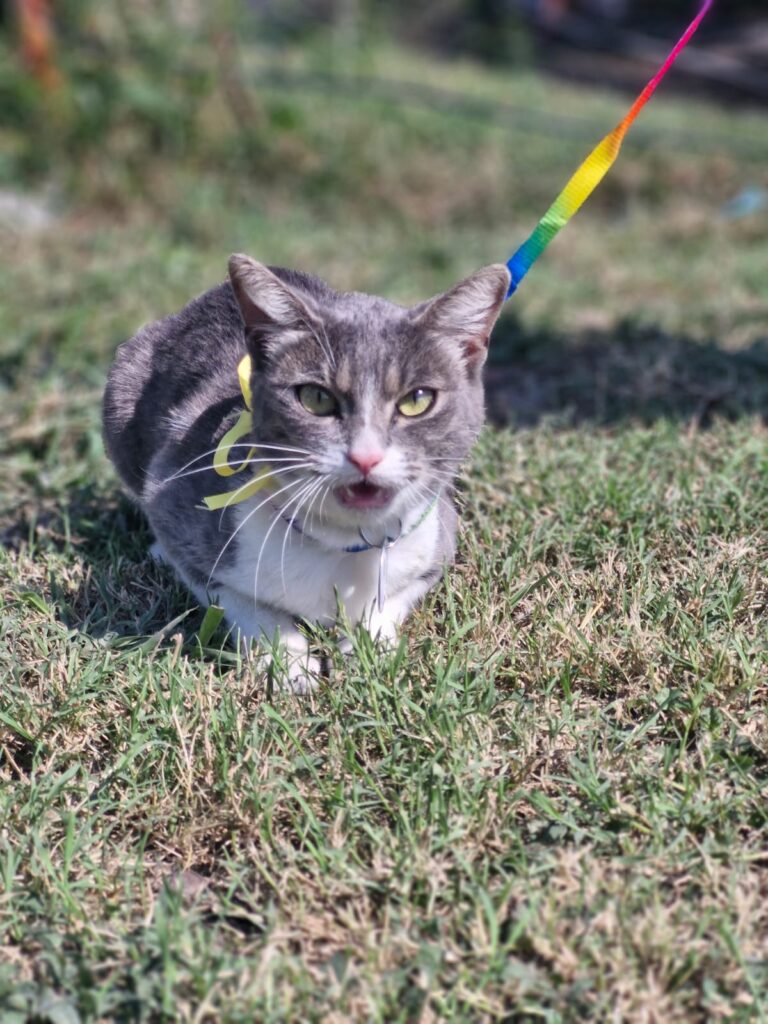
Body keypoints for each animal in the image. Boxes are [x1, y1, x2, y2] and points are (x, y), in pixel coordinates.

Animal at [102, 254, 512, 688]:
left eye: (417, 400)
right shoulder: (178, 500)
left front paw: (367, 647)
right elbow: (235, 597)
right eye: (316, 398)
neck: (341, 546)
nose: (365, 456)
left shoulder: (438, 538)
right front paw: (289, 662)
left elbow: (394, 598)